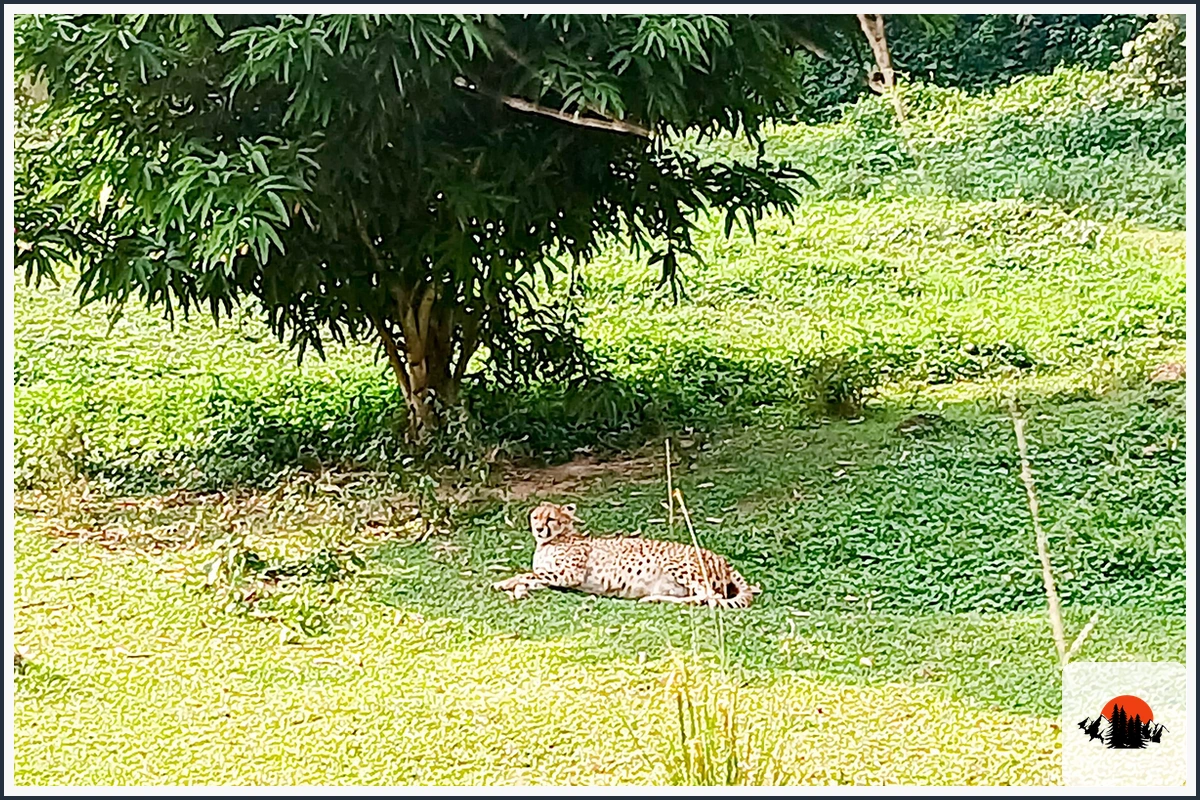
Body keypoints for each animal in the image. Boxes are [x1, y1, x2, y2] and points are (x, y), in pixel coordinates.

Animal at [491, 502, 761, 608]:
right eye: (536, 517)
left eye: (550, 519)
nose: (538, 528)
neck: (554, 539)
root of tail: (723, 559)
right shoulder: (559, 579)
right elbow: (533, 577)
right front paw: (516, 590)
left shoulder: (569, 574)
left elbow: (528, 573)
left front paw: (504, 583)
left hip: (678, 564)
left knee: (710, 596)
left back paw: (654, 599)